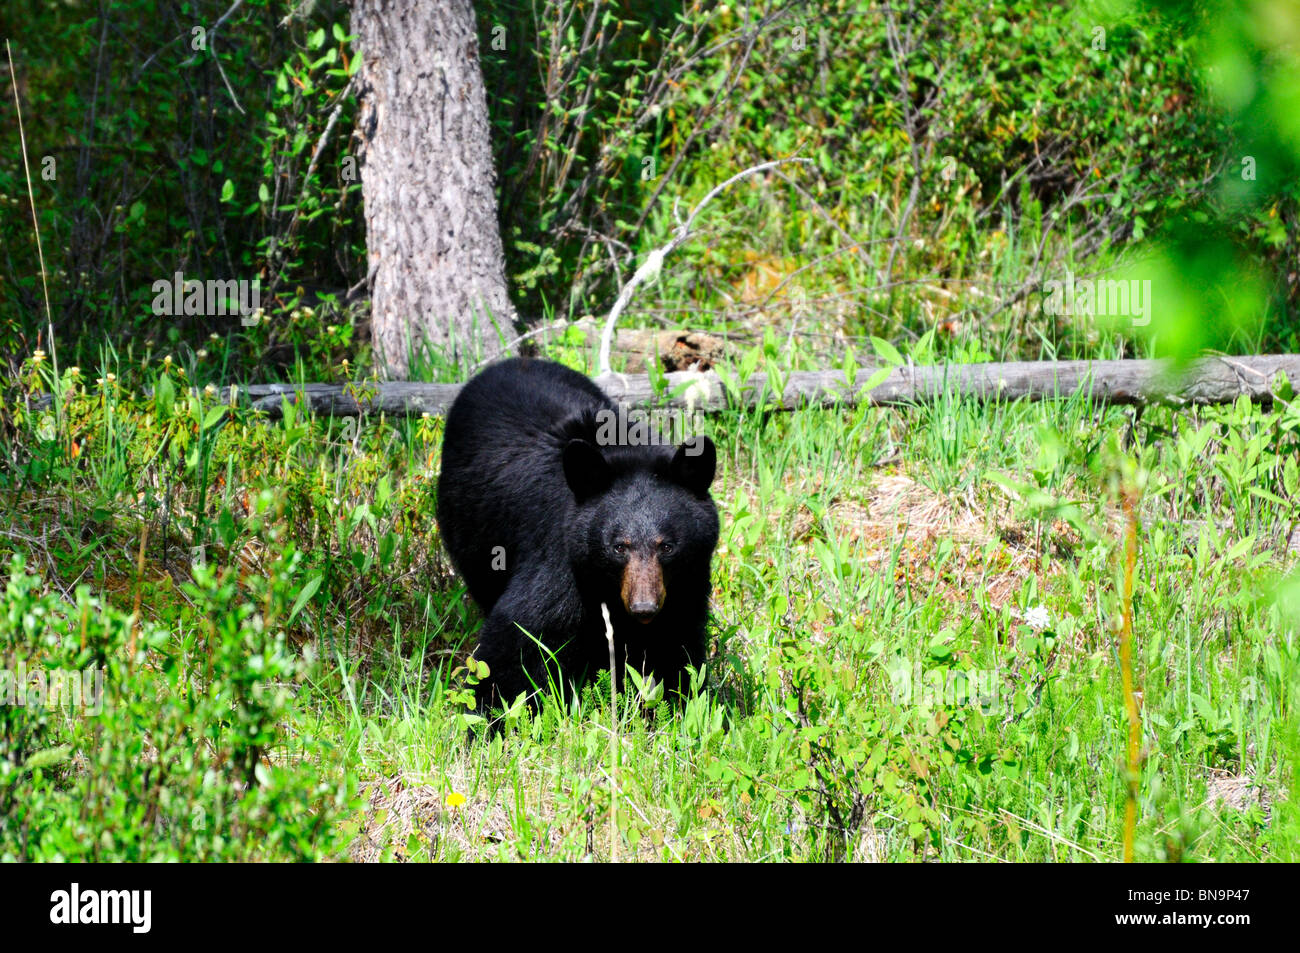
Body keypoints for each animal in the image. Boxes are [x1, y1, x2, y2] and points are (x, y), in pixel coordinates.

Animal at [436, 358, 722, 712]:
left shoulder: (686, 580)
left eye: (667, 546)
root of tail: (511, 361)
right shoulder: (560, 562)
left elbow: (676, 641)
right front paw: (493, 713)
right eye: (619, 547)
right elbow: (518, 638)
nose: (644, 607)